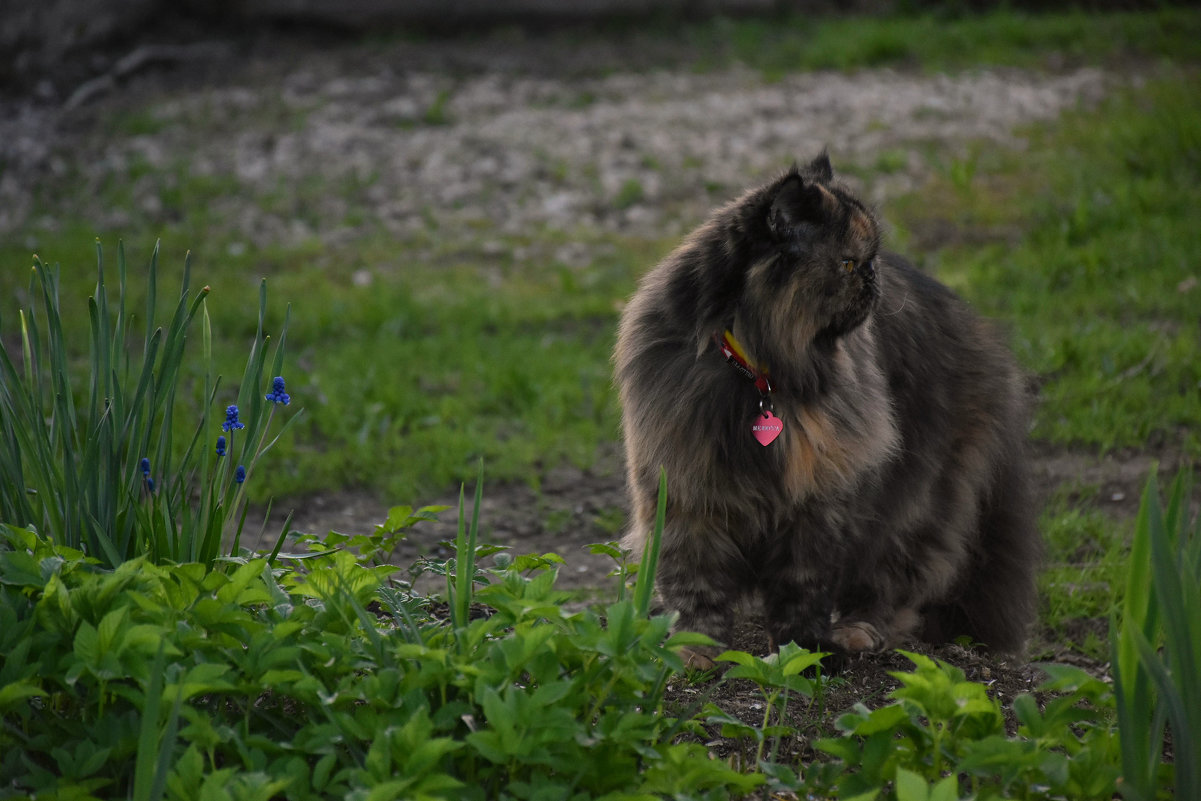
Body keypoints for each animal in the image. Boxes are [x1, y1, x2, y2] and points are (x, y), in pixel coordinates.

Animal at [614, 153, 1037, 667]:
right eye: (849, 263)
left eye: (866, 261)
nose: (875, 275)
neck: (760, 374)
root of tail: (975, 328)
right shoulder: (687, 492)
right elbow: (696, 593)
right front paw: (695, 654)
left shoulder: (817, 500)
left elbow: (801, 590)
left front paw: (801, 656)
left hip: (911, 503)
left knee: (890, 584)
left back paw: (857, 631)